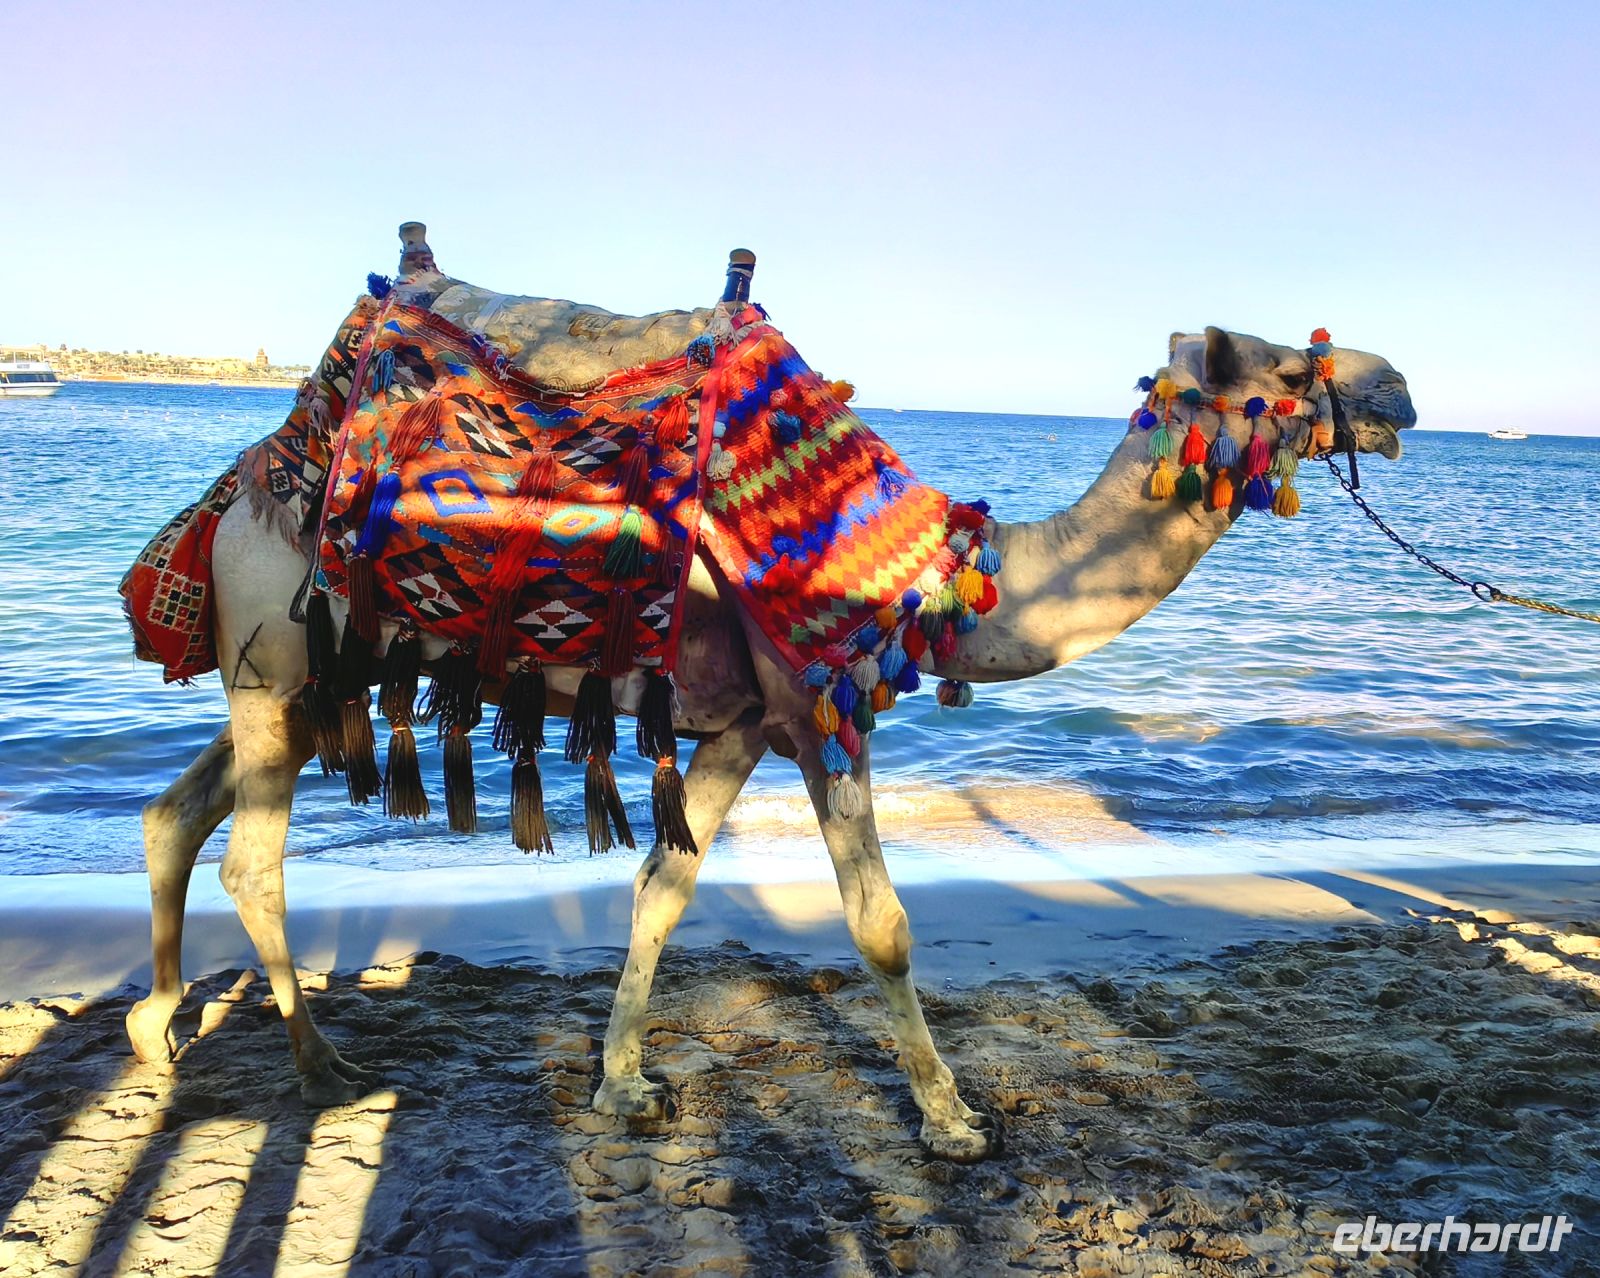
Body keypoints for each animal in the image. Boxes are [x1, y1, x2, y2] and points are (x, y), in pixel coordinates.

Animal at [123, 231, 1416, 1162]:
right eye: (1289, 365)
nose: (1397, 383)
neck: (931, 574)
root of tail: (239, 490)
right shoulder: (819, 703)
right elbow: (881, 927)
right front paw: (951, 1120)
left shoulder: (745, 726)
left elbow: (663, 883)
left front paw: (624, 1083)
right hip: (278, 653)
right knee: (251, 856)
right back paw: (320, 1068)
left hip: (295, 675)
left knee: (174, 813)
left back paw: (157, 1032)